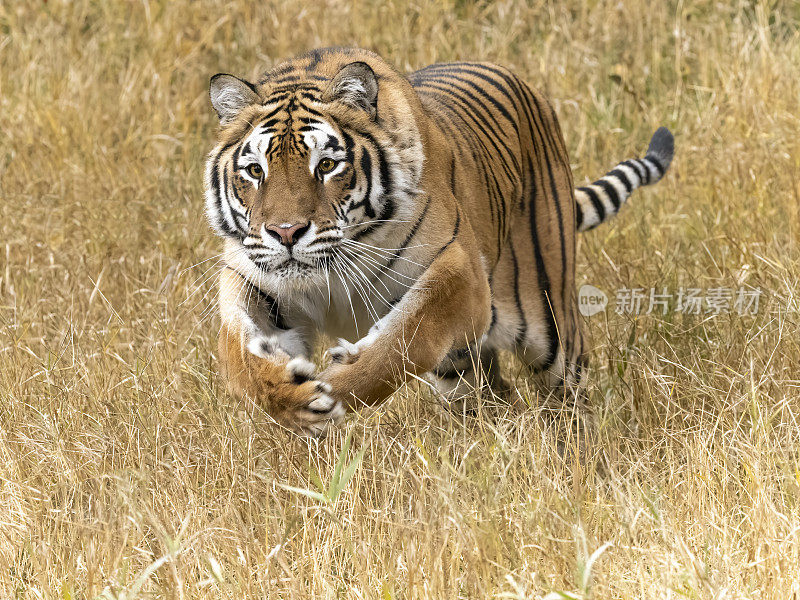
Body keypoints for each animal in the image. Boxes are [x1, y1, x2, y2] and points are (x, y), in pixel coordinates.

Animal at [203, 44, 672, 434]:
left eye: (327, 165)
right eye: (255, 170)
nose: (286, 233)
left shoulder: (459, 269)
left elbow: (405, 340)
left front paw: (336, 387)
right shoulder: (249, 277)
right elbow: (239, 355)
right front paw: (294, 397)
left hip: (550, 322)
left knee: (567, 396)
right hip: (460, 369)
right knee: (493, 397)